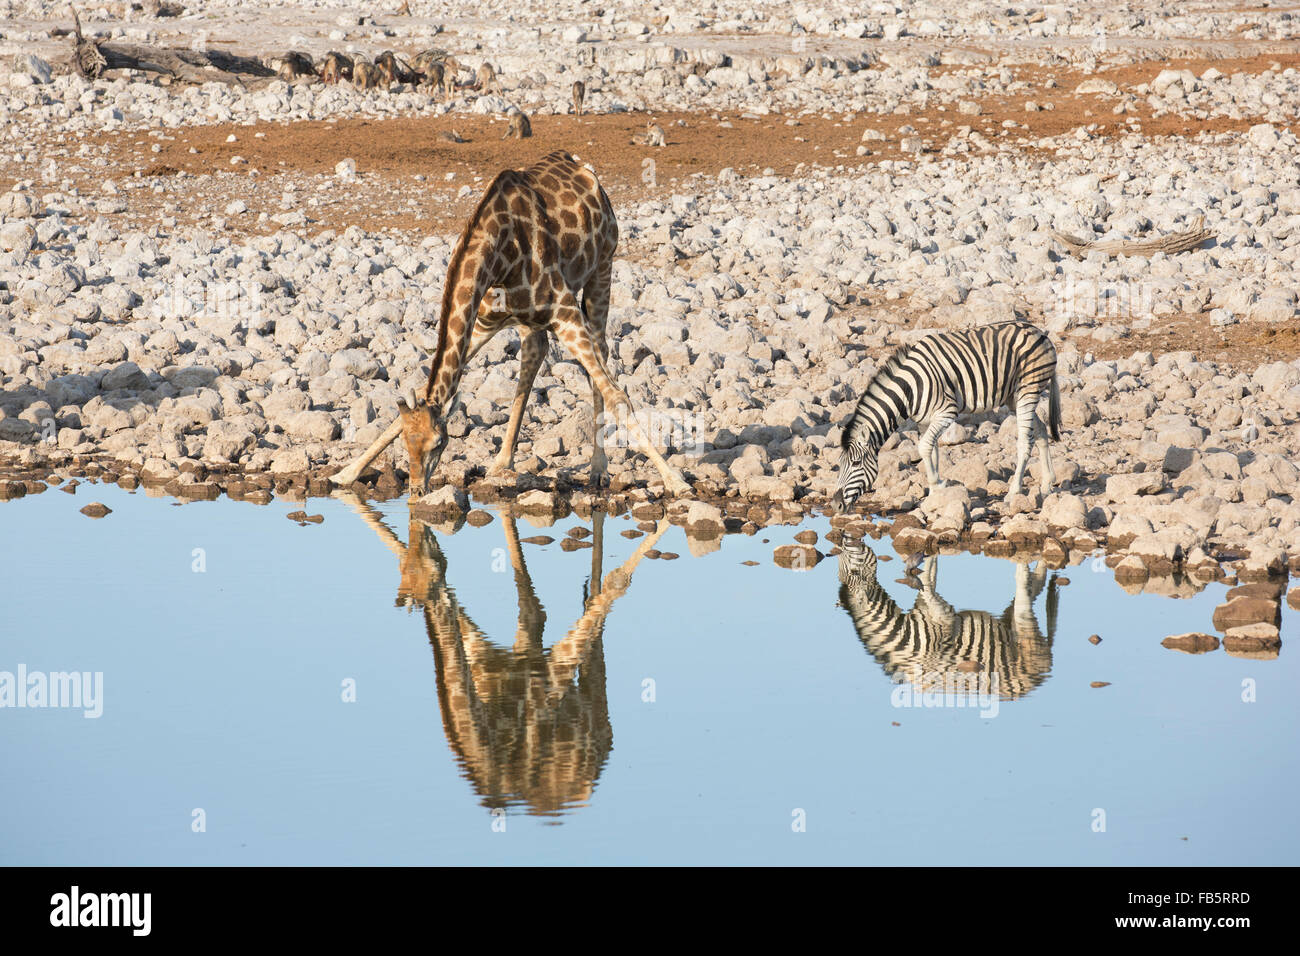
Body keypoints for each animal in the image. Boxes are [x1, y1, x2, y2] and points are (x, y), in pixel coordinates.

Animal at [330, 148, 691, 496]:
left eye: (439, 442)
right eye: (408, 444)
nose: (418, 491)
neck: (499, 256)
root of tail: (583, 169)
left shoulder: (565, 312)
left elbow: (618, 396)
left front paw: (676, 482)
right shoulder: (483, 322)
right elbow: (420, 391)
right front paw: (346, 473)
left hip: (603, 268)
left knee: (599, 361)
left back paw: (598, 470)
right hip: (533, 320)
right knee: (535, 356)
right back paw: (502, 461)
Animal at [832, 321, 1055, 515]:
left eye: (856, 464)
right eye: (839, 464)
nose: (836, 505)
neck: (909, 391)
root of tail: (1039, 332)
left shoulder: (947, 412)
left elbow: (924, 447)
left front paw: (937, 485)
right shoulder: (925, 421)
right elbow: (932, 450)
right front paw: (934, 495)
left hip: (1028, 389)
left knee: (1025, 442)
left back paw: (1014, 491)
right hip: (1014, 397)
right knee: (1041, 430)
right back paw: (1047, 484)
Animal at [837, 546, 1060, 702]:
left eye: (853, 568)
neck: (902, 638)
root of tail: (1039, 679)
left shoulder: (943, 620)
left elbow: (929, 587)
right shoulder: (924, 605)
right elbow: (930, 575)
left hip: (1026, 635)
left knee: (1024, 589)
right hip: (1008, 623)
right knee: (1036, 585)